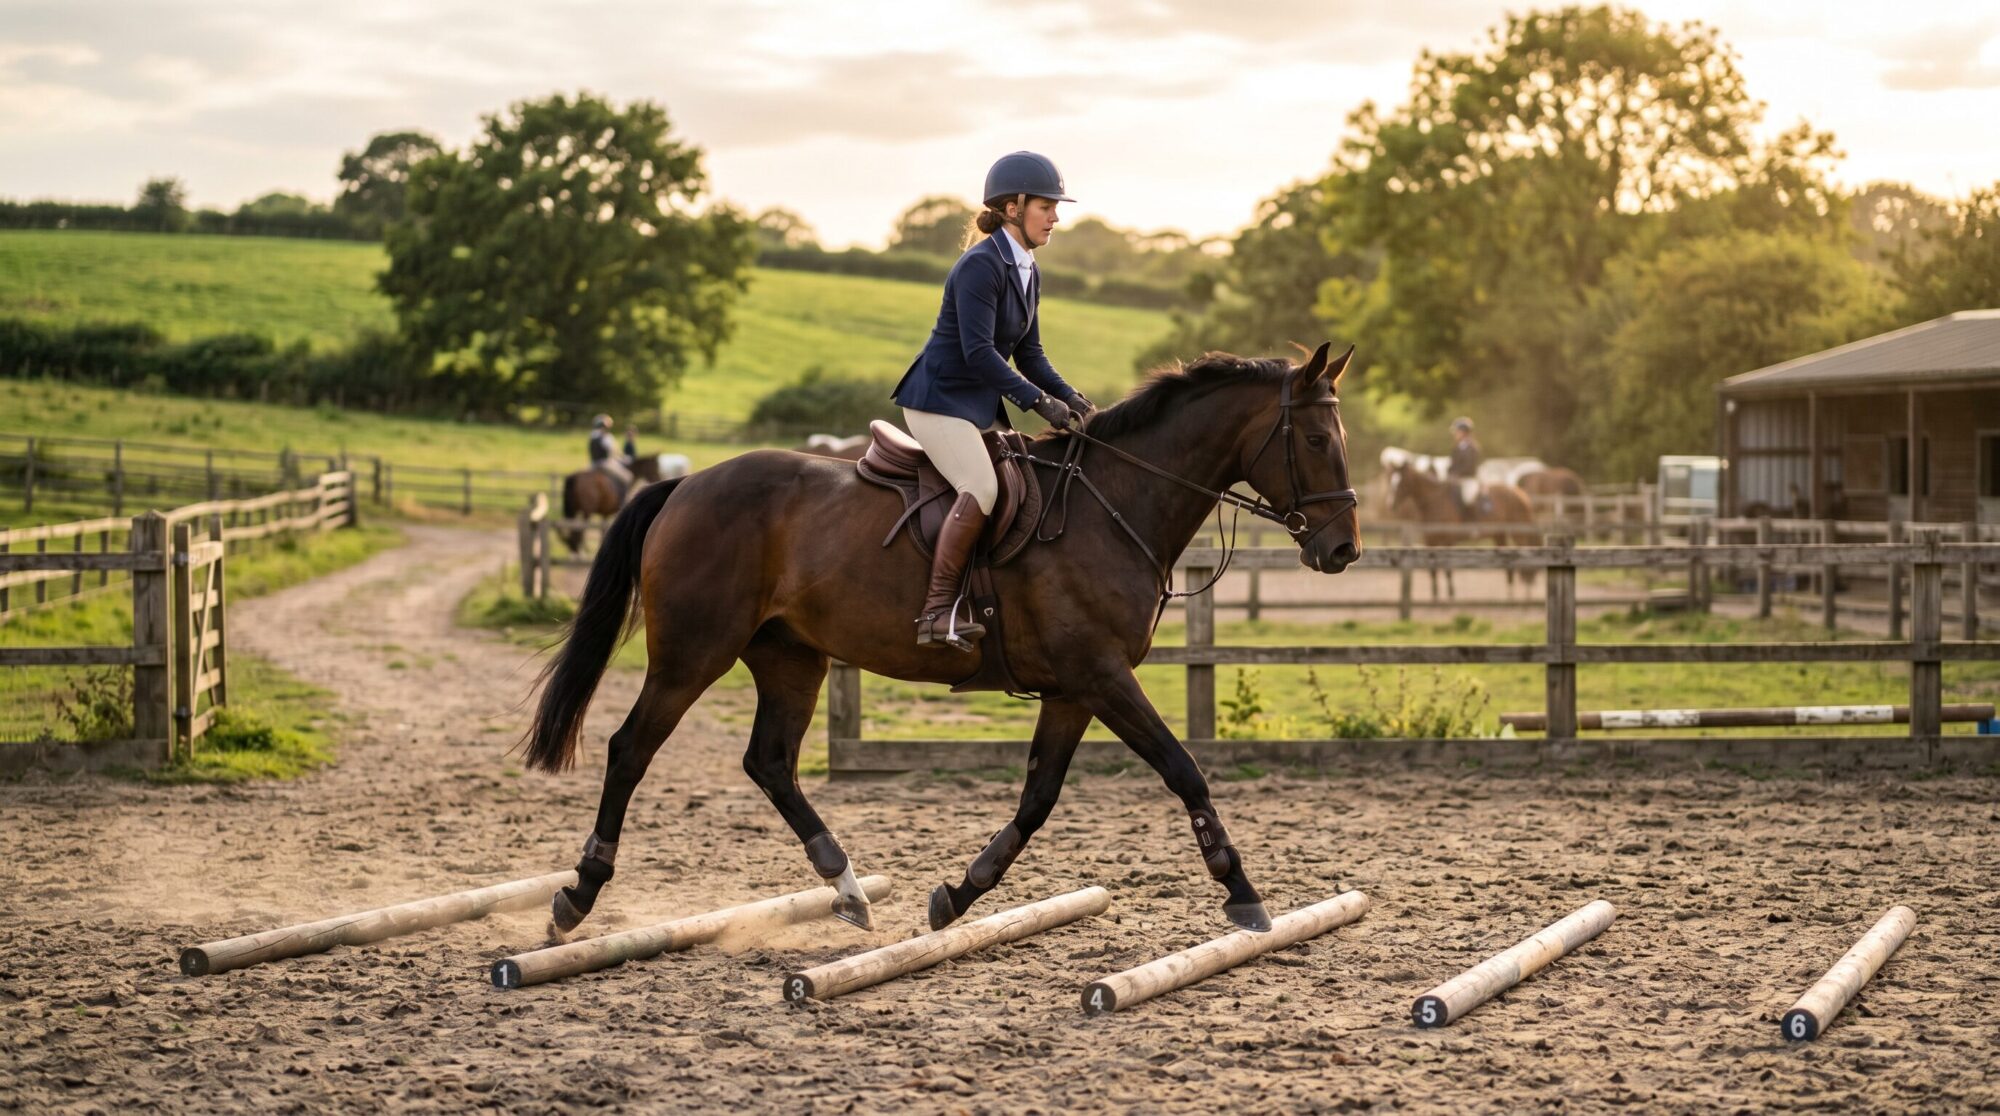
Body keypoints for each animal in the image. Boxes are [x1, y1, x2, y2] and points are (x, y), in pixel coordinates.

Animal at [522, 343, 1363, 939]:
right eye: (1316, 437)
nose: (1344, 550)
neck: (1114, 503)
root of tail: (683, 486)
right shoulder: (1101, 675)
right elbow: (1184, 771)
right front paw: (1243, 893)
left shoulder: (1072, 688)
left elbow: (1037, 799)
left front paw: (957, 896)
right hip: (694, 653)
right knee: (630, 750)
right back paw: (577, 896)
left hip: (790, 657)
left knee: (770, 763)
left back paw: (848, 889)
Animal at [1381, 457, 1539, 600]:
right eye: (1390, 480)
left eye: (1401, 482)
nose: (1390, 504)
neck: (1435, 500)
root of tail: (1520, 494)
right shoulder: (1430, 539)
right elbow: (1432, 569)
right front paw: (1434, 597)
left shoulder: (1447, 540)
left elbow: (1448, 568)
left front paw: (1451, 594)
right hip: (1499, 534)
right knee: (1508, 561)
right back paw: (1510, 594)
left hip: (1518, 533)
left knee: (1525, 555)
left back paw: (1526, 588)